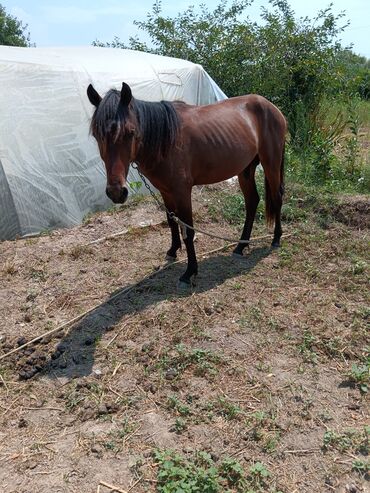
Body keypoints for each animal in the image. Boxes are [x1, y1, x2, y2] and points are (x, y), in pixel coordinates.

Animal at [86, 82, 286, 286]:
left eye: (130, 132)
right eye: (97, 135)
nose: (116, 192)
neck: (166, 139)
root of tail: (271, 107)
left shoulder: (182, 191)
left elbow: (188, 230)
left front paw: (190, 271)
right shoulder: (165, 191)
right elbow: (171, 221)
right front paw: (173, 251)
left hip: (271, 164)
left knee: (277, 198)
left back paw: (276, 238)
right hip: (245, 170)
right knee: (252, 202)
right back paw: (240, 246)